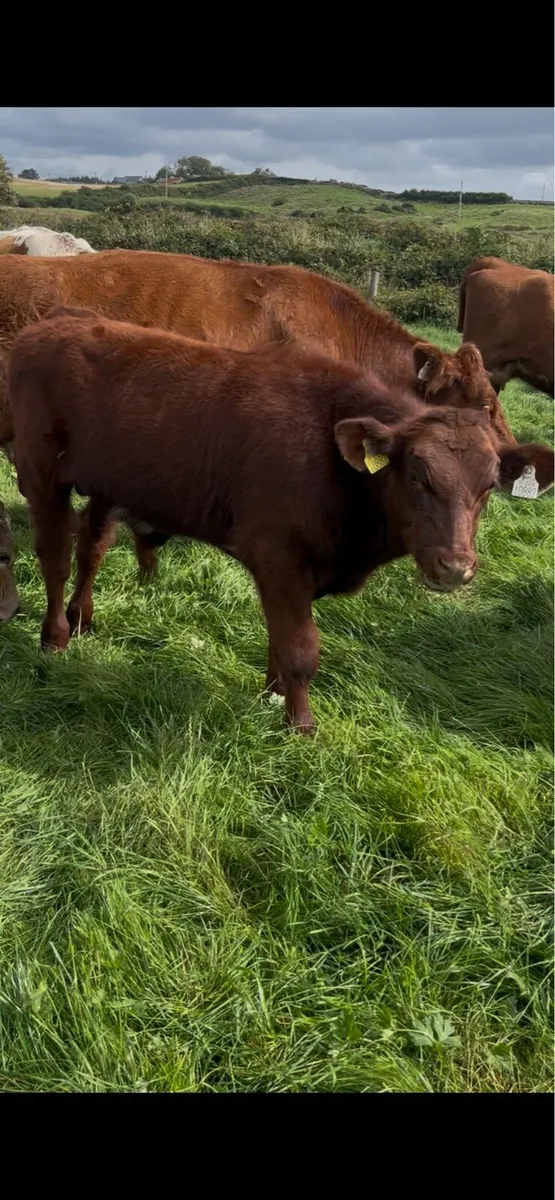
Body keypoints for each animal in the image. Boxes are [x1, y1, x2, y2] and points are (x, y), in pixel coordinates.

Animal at [8, 309, 553, 733]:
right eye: (416, 475)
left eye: (487, 487)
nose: (455, 567)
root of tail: (54, 322)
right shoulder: (279, 557)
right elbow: (299, 648)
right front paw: (301, 726)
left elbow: (279, 637)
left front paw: (271, 695)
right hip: (39, 468)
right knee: (55, 555)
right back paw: (55, 636)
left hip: (106, 481)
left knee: (92, 545)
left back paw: (82, 618)